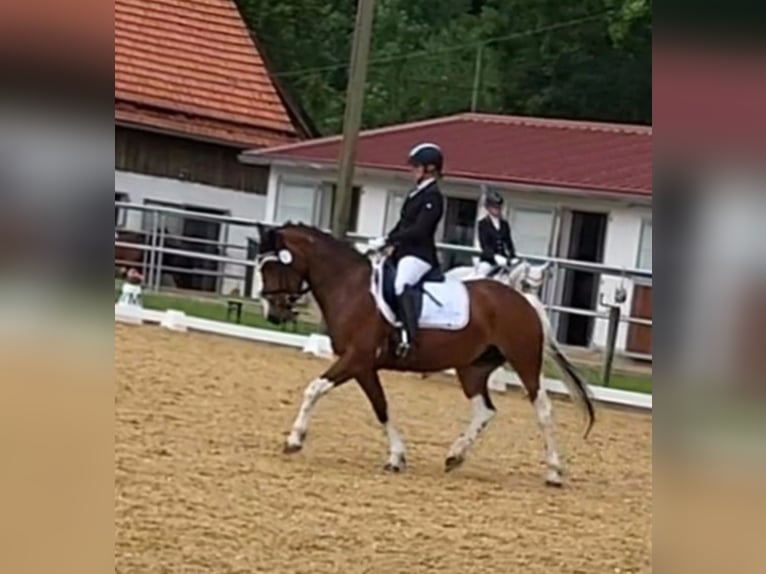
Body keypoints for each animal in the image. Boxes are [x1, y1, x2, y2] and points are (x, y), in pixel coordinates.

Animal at [255, 224, 596, 486]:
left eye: (273, 266)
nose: (273, 313)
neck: (350, 287)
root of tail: (524, 299)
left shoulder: (356, 359)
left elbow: (314, 389)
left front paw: (294, 440)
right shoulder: (364, 367)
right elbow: (381, 407)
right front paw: (396, 457)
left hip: (525, 361)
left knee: (542, 410)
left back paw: (554, 472)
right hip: (472, 367)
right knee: (484, 410)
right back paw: (455, 455)